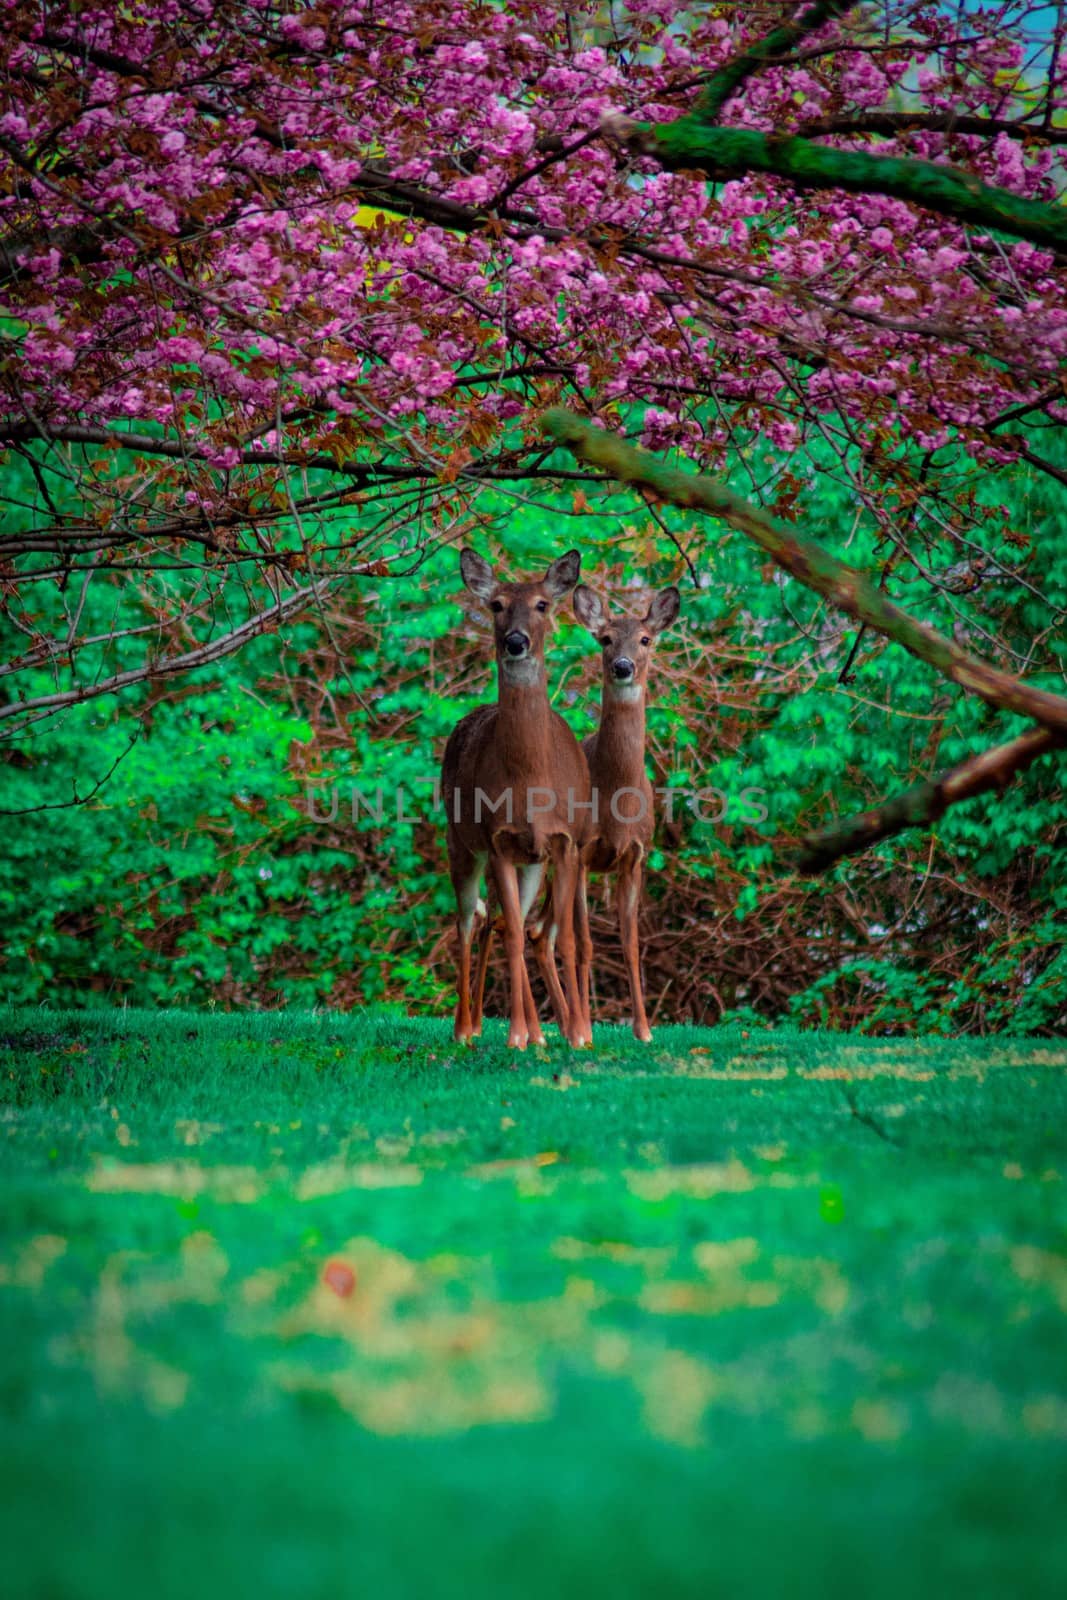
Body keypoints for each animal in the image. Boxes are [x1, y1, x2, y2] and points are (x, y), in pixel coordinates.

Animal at [441, 550, 591, 1049]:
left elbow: (563, 938)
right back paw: (466, 1029)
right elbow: (511, 935)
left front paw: (577, 1034)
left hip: (533, 862)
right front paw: (516, 1034)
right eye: (496, 605)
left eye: (543, 604)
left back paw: (538, 1034)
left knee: (510, 922)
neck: (531, 781)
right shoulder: (497, 840)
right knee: (470, 920)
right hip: (460, 842)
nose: (516, 641)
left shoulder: (565, 842)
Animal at [534, 582, 684, 1043]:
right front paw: (586, 1030)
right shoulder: (583, 851)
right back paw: (564, 1026)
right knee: (531, 928)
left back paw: (562, 1022)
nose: (622, 666)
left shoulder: (634, 856)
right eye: (604, 639)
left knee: (539, 932)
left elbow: (631, 944)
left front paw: (644, 1030)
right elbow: (584, 944)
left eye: (646, 639)